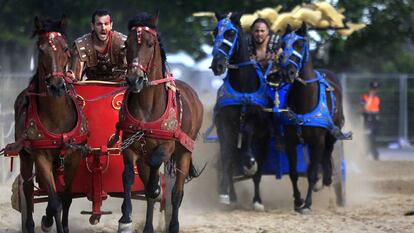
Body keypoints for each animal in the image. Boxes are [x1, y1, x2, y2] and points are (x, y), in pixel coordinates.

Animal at [9, 15, 87, 231]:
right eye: (40, 49)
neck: (57, 116)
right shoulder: (41, 156)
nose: (56, 87)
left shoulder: (74, 156)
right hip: (25, 155)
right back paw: (30, 224)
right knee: (27, 187)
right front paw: (47, 221)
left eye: (65, 48)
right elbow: (54, 202)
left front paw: (64, 226)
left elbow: (66, 198)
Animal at [113, 12, 204, 233]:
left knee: (177, 192)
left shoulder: (166, 147)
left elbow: (156, 168)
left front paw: (156, 186)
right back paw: (148, 226)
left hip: (184, 153)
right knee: (148, 193)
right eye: (126, 44)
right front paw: (125, 218)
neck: (148, 108)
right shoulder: (130, 146)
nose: (134, 79)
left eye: (149, 43)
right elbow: (128, 176)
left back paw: (173, 224)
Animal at [210, 12, 274, 209]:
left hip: (264, 142)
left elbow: (247, 132)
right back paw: (233, 196)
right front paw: (224, 193)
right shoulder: (224, 124)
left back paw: (257, 200)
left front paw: (249, 163)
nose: (217, 65)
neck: (243, 87)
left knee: (259, 170)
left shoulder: (257, 121)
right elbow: (227, 157)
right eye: (214, 32)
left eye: (231, 32)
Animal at [276, 24, 350, 214]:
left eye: (300, 44)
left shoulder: (318, 141)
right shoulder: (290, 141)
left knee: (327, 157)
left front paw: (307, 204)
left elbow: (311, 173)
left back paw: (327, 180)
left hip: (330, 136)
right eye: (282, 44)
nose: (287, 72)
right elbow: (294, 173)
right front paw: (297, 201)